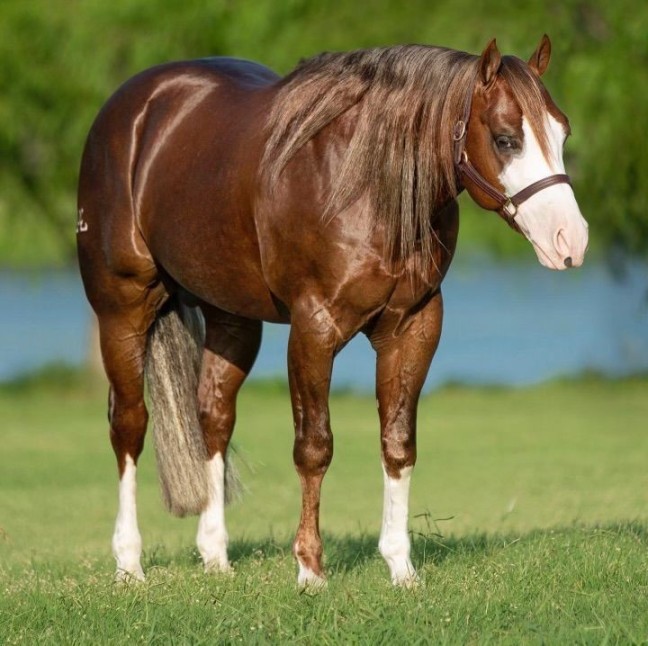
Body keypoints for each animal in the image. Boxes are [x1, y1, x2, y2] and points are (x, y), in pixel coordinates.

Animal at [77, 35, 588, 588]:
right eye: (505, 139)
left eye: (562, 131)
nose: (571, 240)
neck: (365, 183)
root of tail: (133, 108)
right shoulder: (314, 329)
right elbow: (314, 447)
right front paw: (310, 570)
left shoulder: (414, 326)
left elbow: (398, 444)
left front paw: (401, 567)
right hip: (122, 310)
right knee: (129, 425)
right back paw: (129, 564)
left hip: (231, 317)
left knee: (213, 415)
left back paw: (215, 556)